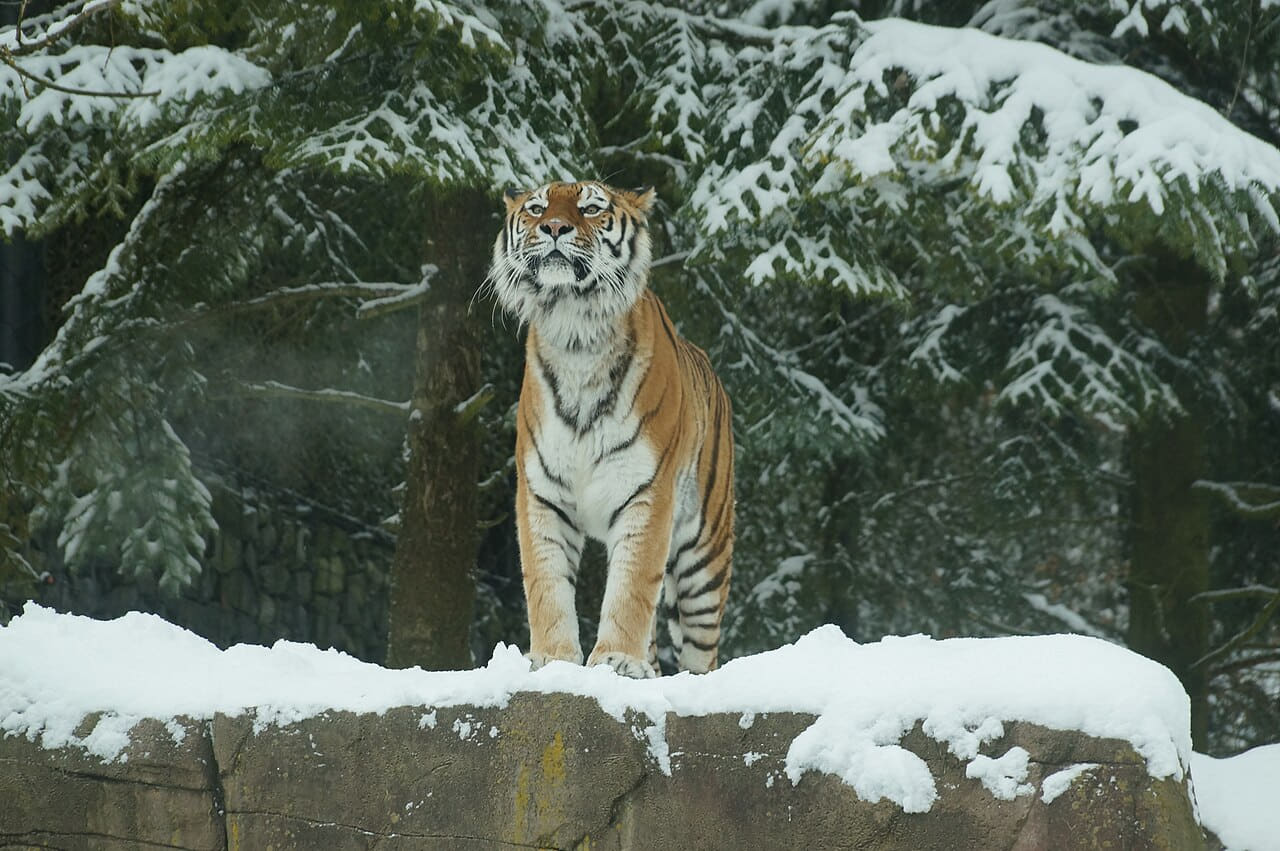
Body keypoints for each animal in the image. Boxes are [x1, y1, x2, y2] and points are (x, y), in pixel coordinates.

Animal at [486, 180, 734, 678]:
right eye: (537, 208)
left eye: (590, 208)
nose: (554, 227)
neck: (576, 338)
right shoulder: (541, 493)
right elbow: (546, 583)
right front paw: (552, 658)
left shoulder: (648, 492)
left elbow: (631, 586)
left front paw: (617, 659)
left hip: (705, 556)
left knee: (702, 648)